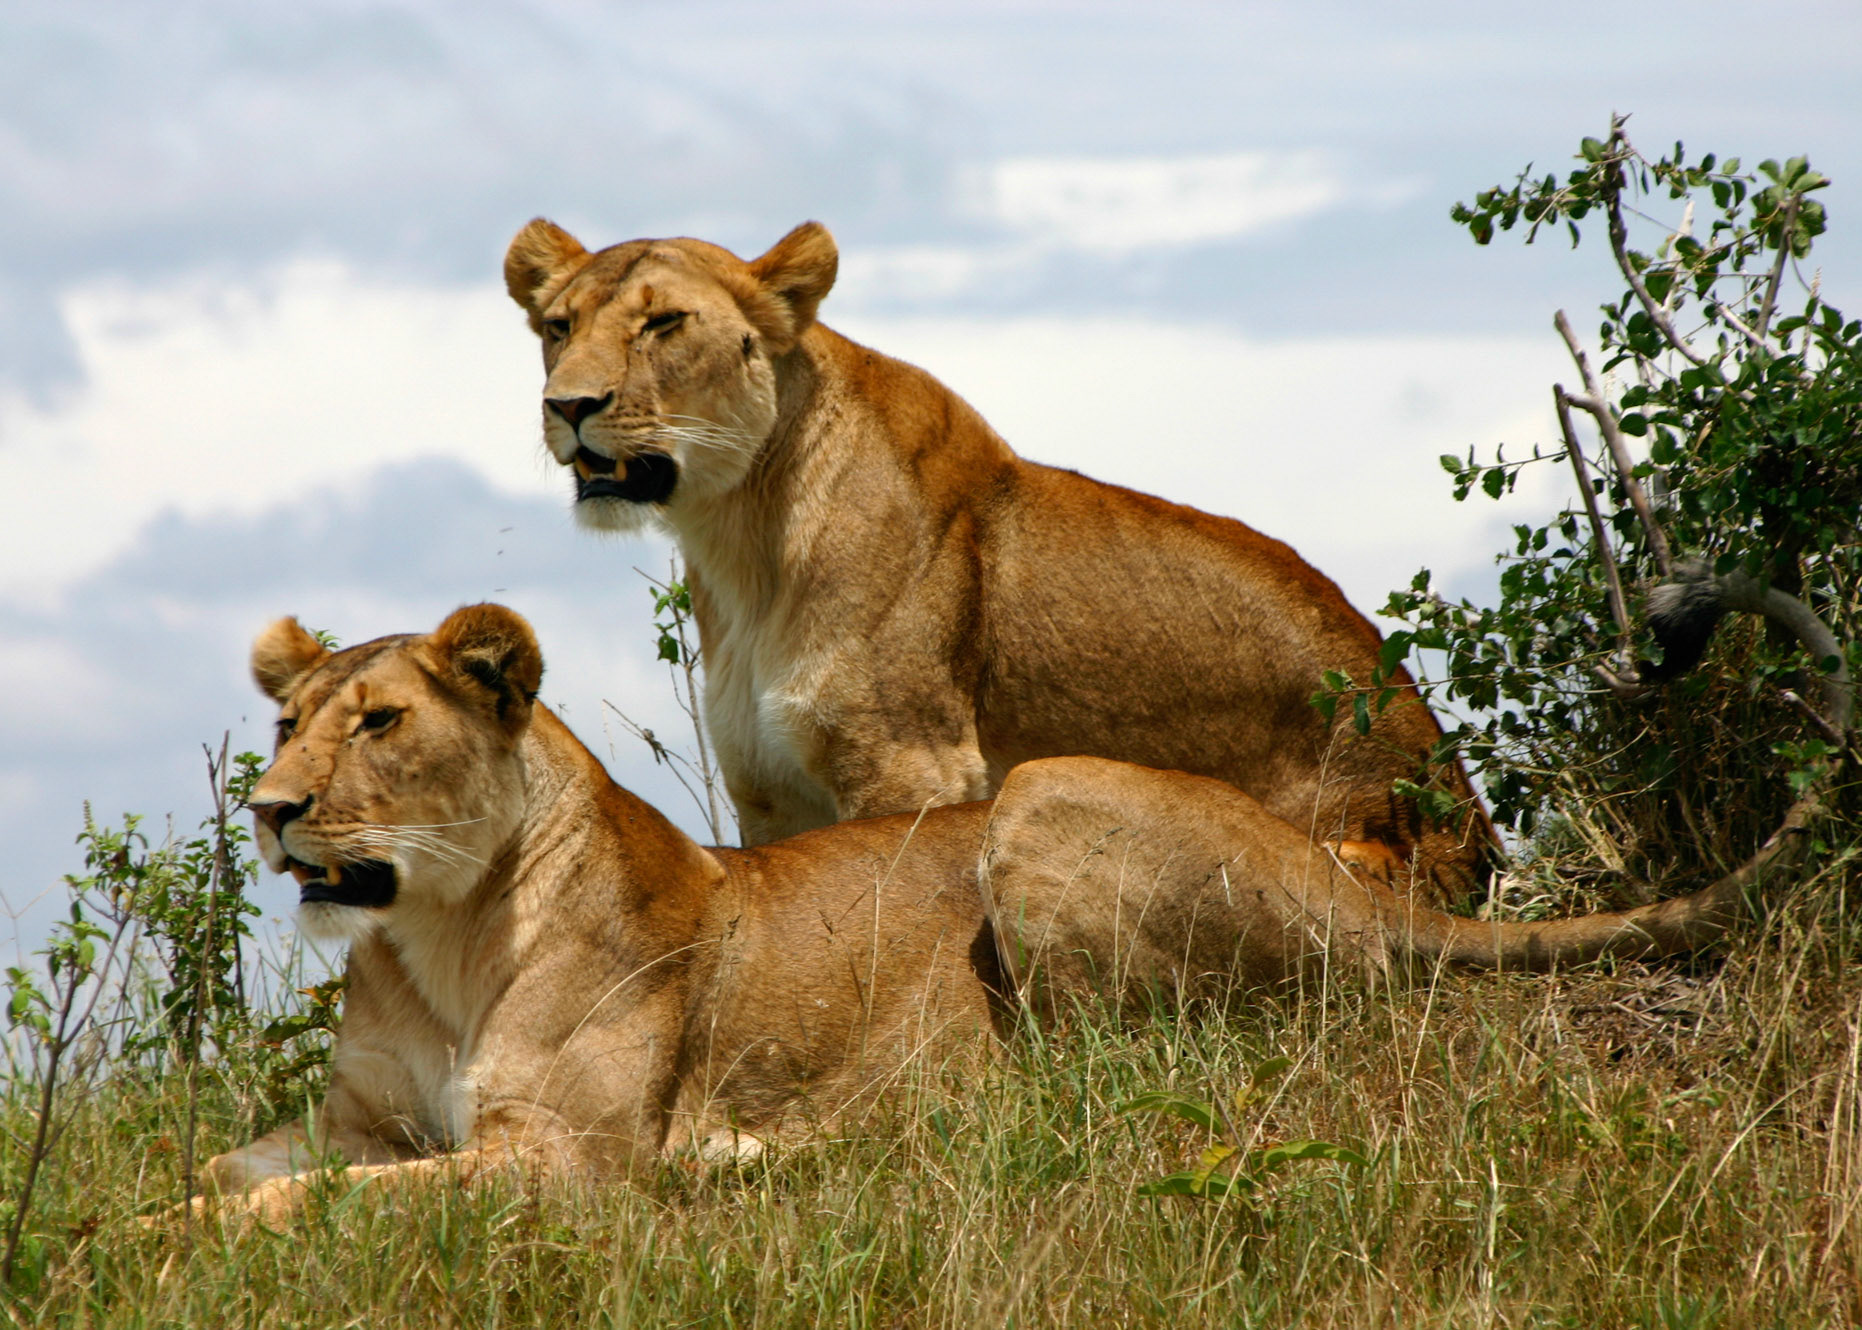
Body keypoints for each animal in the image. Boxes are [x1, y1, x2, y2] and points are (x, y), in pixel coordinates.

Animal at [179, 602, 1821, 1225]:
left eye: (381, 723)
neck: (437, 933)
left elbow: (321, 1202)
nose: (268, 807)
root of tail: (1344, 884)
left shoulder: (570, 1162)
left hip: (1038, 797)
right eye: (288, 723)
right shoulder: (362, 1118)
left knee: (1104, 1080)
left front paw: (207, 1239)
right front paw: (161, 1213)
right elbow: (219, 1160)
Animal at [502, 218, 1492, 905]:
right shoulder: (769, 788)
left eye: (665, 323)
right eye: (557, 327)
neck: (738, 538)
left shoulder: (912, 764)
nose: (568, 405)